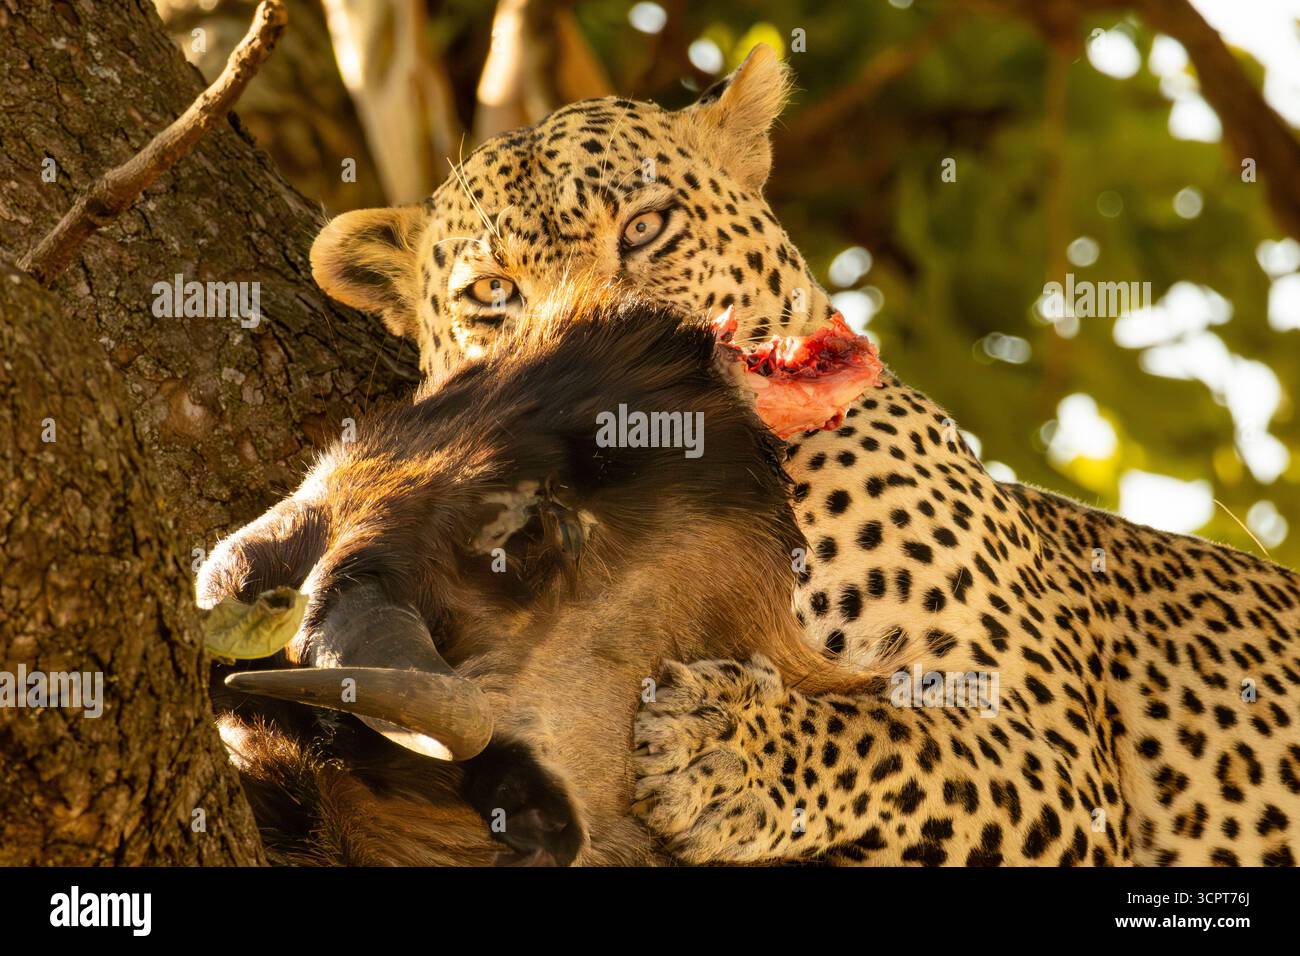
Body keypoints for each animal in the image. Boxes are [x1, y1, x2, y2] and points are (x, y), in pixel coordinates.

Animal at [306, 44, 1300, 866]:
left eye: (646, 226)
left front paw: (723, 747)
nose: (602, 342)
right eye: (493, 293)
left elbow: (896, 740)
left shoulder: (1047, 747)